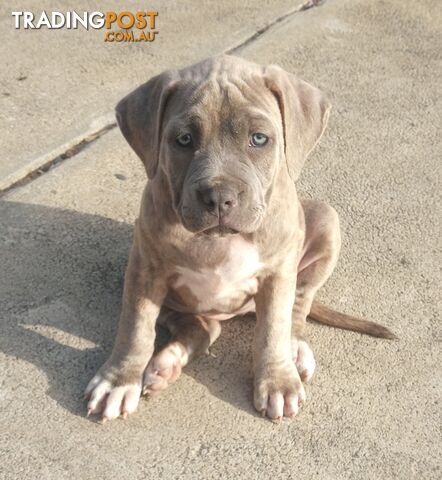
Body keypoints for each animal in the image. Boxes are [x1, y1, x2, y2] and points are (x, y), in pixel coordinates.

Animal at [84, 56, 396, 422]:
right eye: (184, 139)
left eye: (259, 139)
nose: (219, 197)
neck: (218, 242)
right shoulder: (144, 267)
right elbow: (136, 327)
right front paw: (119, 381)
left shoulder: (278, 274)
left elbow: (273, 329)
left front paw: (278, 381)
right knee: (204, 329)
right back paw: (166, 364)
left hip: (325, 219)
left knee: (298, 306)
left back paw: (294, 349)